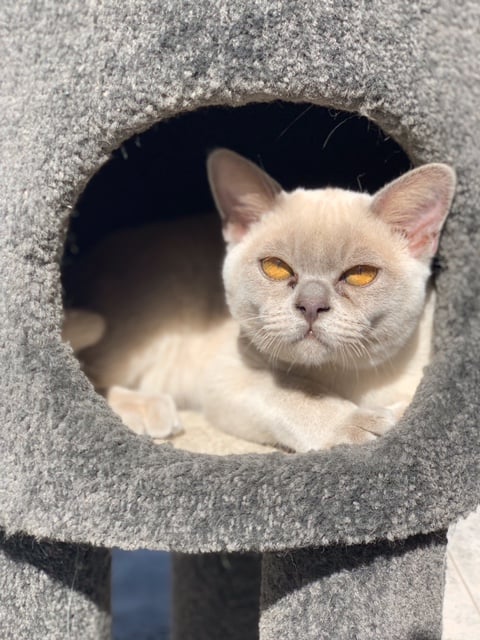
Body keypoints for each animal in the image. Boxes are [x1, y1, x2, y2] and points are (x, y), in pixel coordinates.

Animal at [62, 149, 454, 450]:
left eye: (360, 274)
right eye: (276, 268)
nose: (311, 306)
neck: (345, 379)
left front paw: (395, 414)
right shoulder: (229, 376)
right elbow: (296, 396)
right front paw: (360, 424)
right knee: (87, 373)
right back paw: (150, 410)